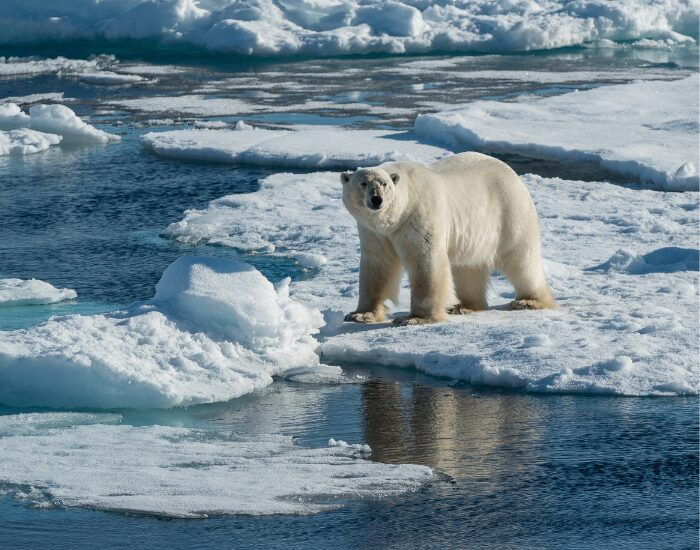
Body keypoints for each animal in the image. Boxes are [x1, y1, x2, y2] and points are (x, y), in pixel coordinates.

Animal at [340, 152, 554, 326]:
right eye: (363, 184)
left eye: (385, 184)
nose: (377, 200)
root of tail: (512, 173)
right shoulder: (374, 233)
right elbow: (378, 265)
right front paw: (360, 314)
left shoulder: (419, 217)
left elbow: (425, 263)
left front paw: (415, 318)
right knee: (468, 266)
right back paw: (464, 306)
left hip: (509, 212)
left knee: (521, 260)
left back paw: (529, 301)